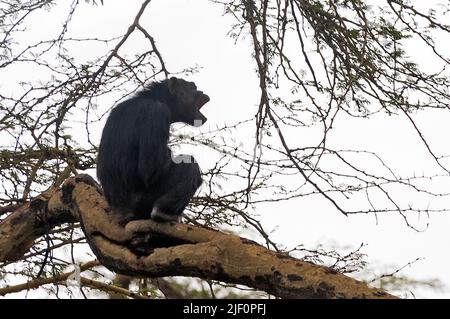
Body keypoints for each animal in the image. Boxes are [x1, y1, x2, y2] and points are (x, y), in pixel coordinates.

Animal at [96, 77, 209, 224]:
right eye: (193, 87)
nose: (201, 91)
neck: (158, 98)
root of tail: (119, 213)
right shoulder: (157, 112)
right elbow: (150, 171)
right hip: (143, 203)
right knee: (189, 165)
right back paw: (164, 213)